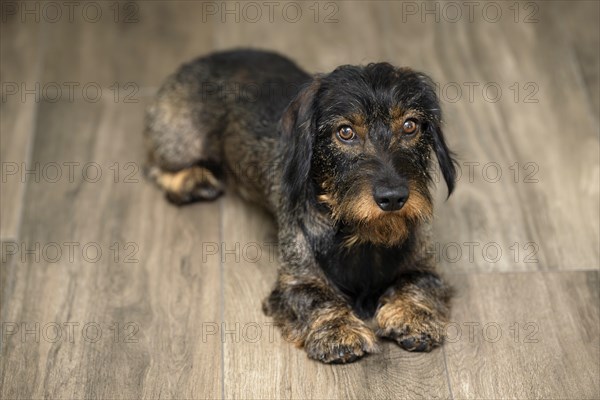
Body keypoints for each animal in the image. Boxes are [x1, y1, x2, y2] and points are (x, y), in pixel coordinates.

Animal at [144, 48, 454, 364]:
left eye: (410, 126)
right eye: (345, 132)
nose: (392, 198)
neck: (361, 234)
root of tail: (209, 57)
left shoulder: (426, 269)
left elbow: (417, 283)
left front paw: (413, 316)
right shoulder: (295, 282)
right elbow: (315, 297)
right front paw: (338, 331)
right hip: (180, 144)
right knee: (154, 165)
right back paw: (193, 181)